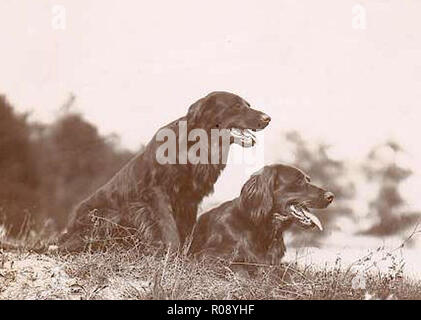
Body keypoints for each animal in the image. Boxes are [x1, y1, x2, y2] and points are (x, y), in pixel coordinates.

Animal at [60, 91, 270, 251]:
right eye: (237, 106)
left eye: (248, 105)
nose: (267, 119)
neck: (197, 145)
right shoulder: (156, 192)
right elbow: (169, 227)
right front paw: (172, 253)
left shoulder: (191, 199)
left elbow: (186, 229)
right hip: (109, 215)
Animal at [189, 164, 332, 272]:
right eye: (298, 181)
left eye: (308, 180)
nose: (331, 196)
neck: (260, 227)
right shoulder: (207, 256)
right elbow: (240, 268)